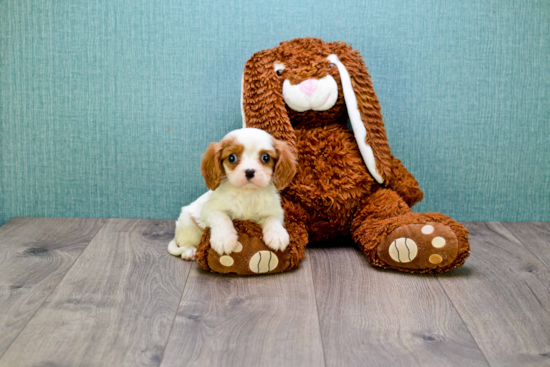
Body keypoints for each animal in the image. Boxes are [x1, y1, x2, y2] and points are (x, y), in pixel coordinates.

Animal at [168, 128, 298, 260]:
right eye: (231, 157)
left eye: (266, 157)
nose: (249, 171)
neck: (248, 193)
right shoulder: (210, 209)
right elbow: (222, 218)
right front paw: (224, 239)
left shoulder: (276, 212)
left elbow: (272, 218)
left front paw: (277, 235)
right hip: (188, 224)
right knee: (185, 242)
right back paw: (190, 251)